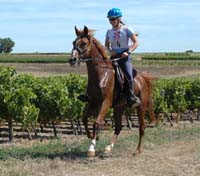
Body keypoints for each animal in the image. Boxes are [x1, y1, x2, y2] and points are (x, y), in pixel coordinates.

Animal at [70, 25, 156, 156]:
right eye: (74, 42)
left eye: (84, 43)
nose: (72, 60)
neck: (101, 73)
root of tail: (143, 79)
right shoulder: (93, 102)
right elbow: (84, 119)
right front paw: (93, 137)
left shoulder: (106, 102)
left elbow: (97, 122)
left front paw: (91, 148)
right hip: (119, 107)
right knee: (119, 127)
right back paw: (108, 148)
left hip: (141, 106)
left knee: (142, 127)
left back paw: (137, 150)